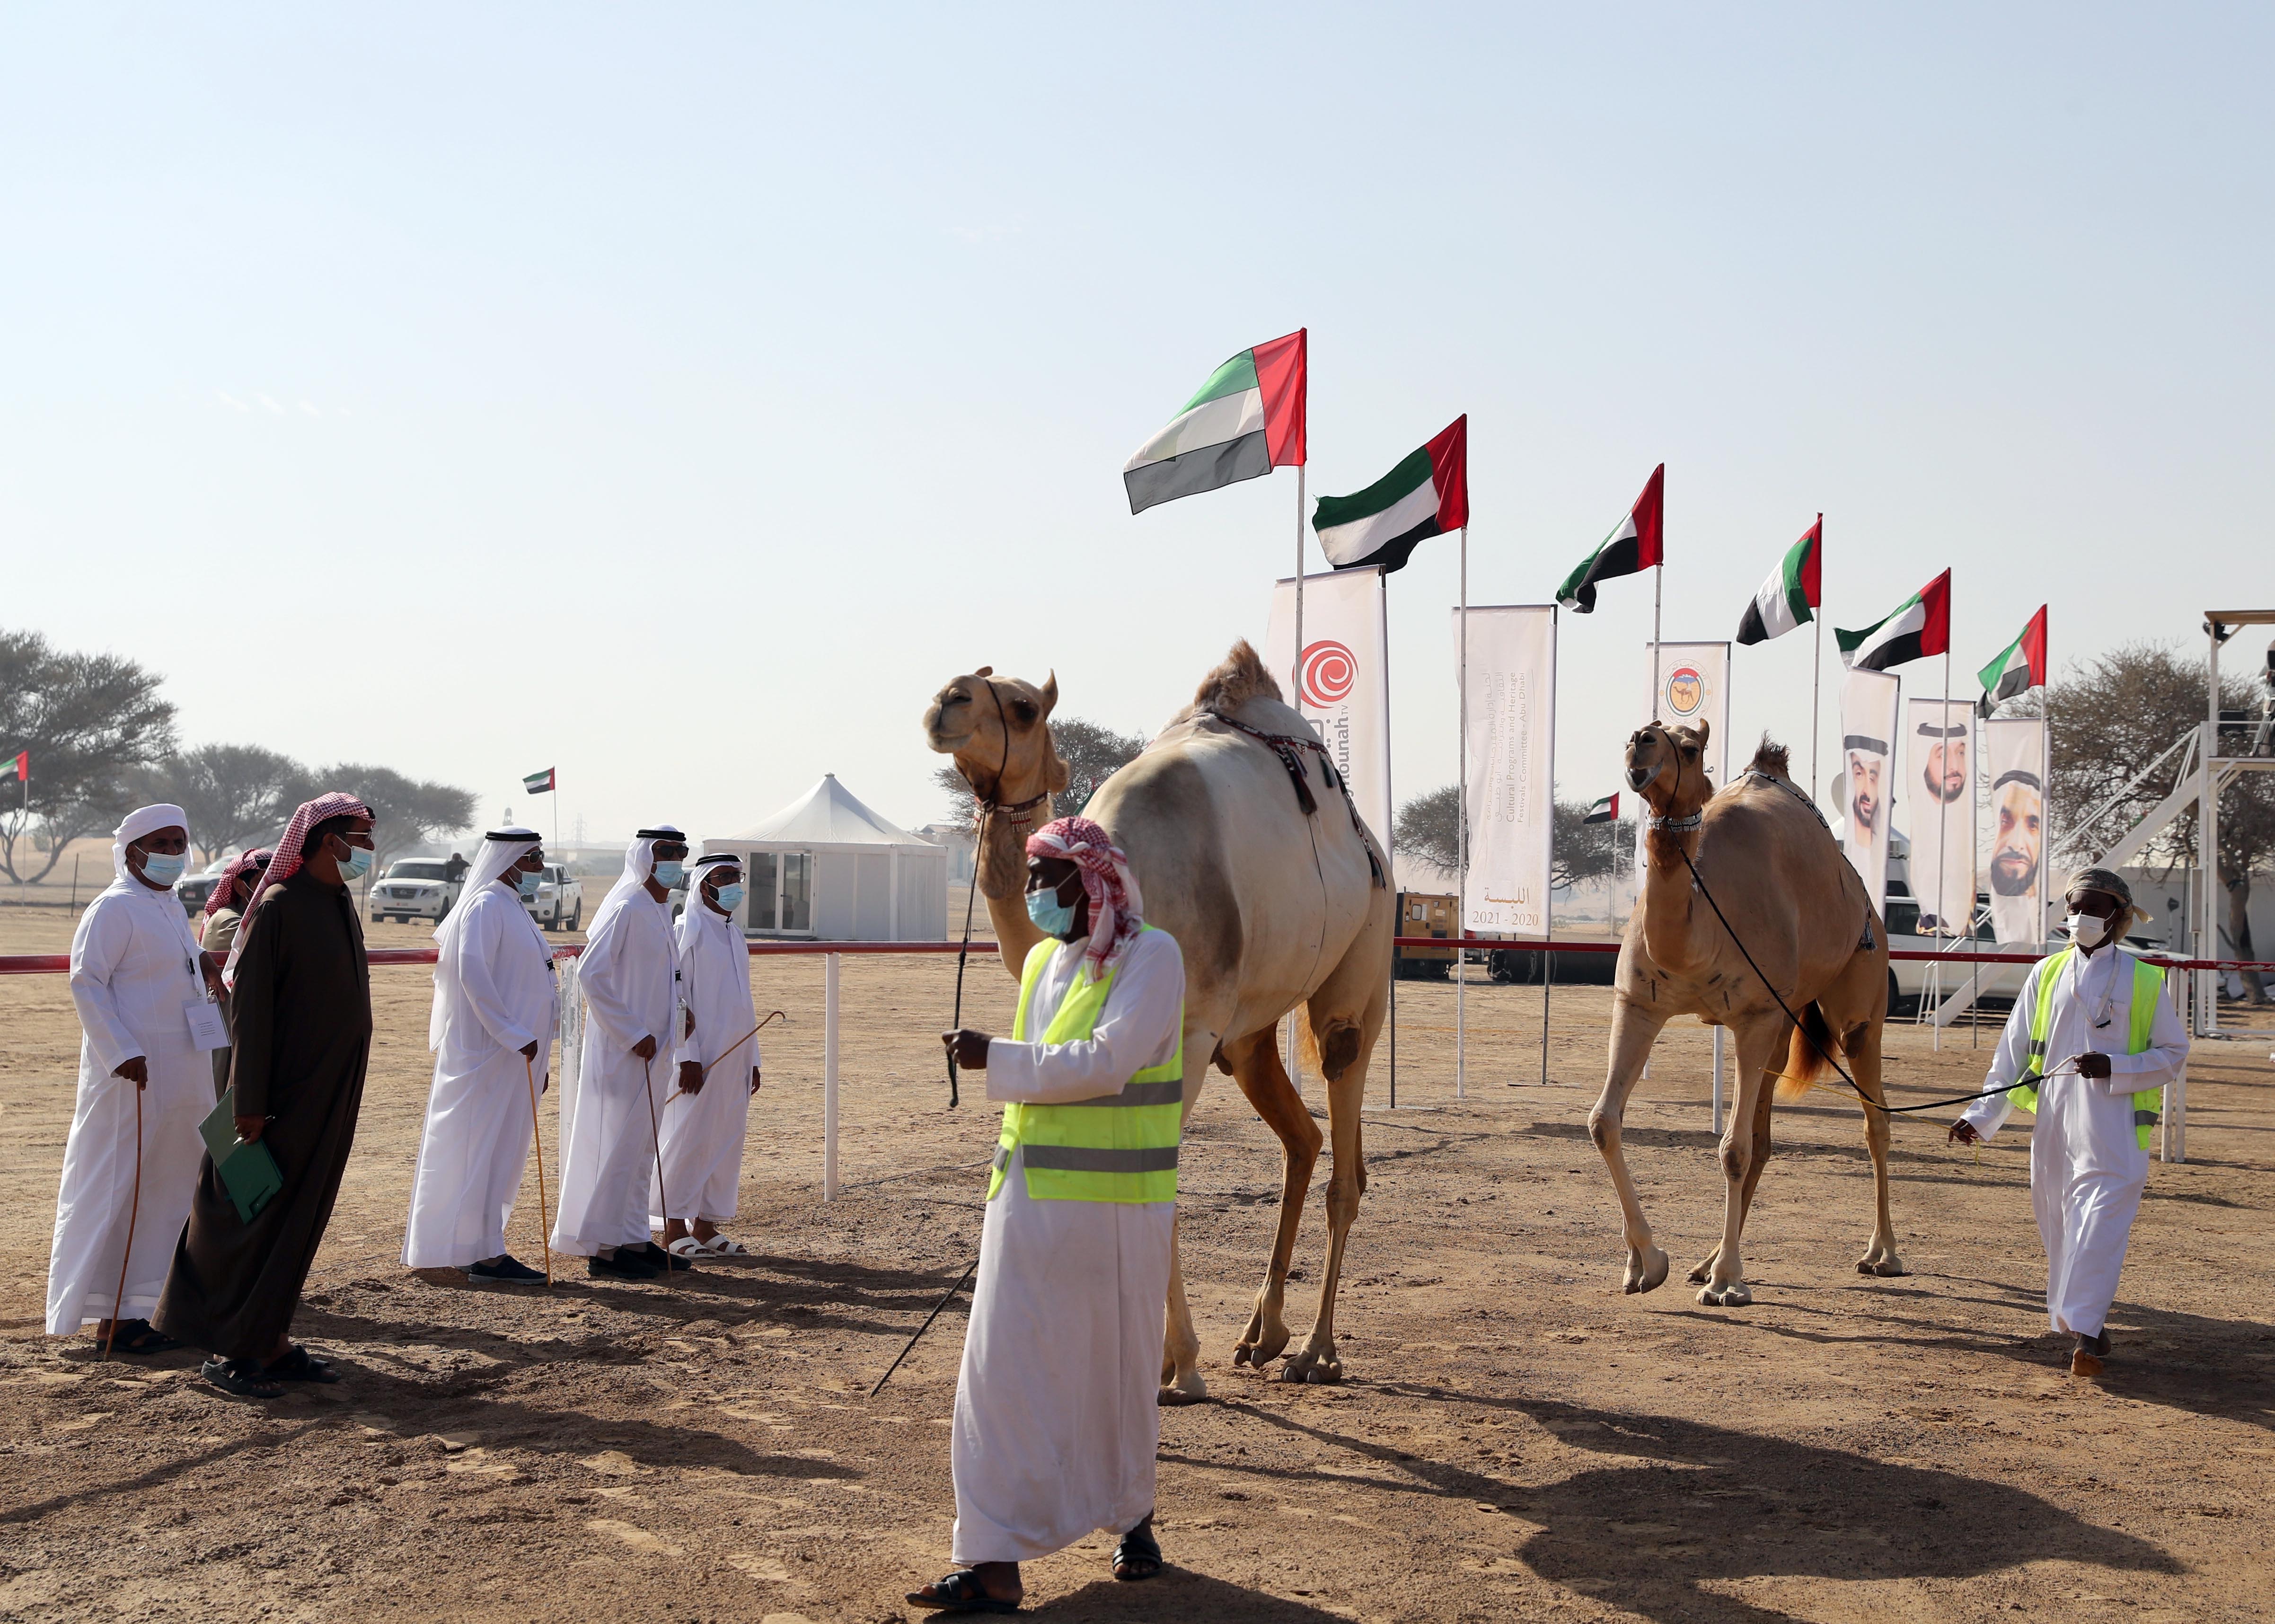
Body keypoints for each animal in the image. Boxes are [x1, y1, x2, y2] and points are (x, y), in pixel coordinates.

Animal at [919, 641, 1383, 1392]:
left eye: (1022, 706)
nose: (946, 701)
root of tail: (1373, 847)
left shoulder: (1190, 1035)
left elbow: (1150, 1170)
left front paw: (1179, 1365)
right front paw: (1153, 1356)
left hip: (1359, 968)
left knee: (1346, 1146)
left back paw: (1316, 1352)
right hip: (1249, 1035)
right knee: (1302, 1140)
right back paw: (1263, 1334)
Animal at [1592, 723, 1911, 1301]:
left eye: (1689, 746)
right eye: (1644, 730)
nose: (1640, 741)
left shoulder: (1754, 1015)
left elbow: (1732, 1149)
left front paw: (1725, 1284)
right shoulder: (1639, 1004)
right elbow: (1604, 1122)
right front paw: (1646, 1264)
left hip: (1858, 1003)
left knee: (1874, 1120)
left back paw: (1882, 1255)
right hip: (1784, 1020)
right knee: (1764, 1140)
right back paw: (1706, 1260)